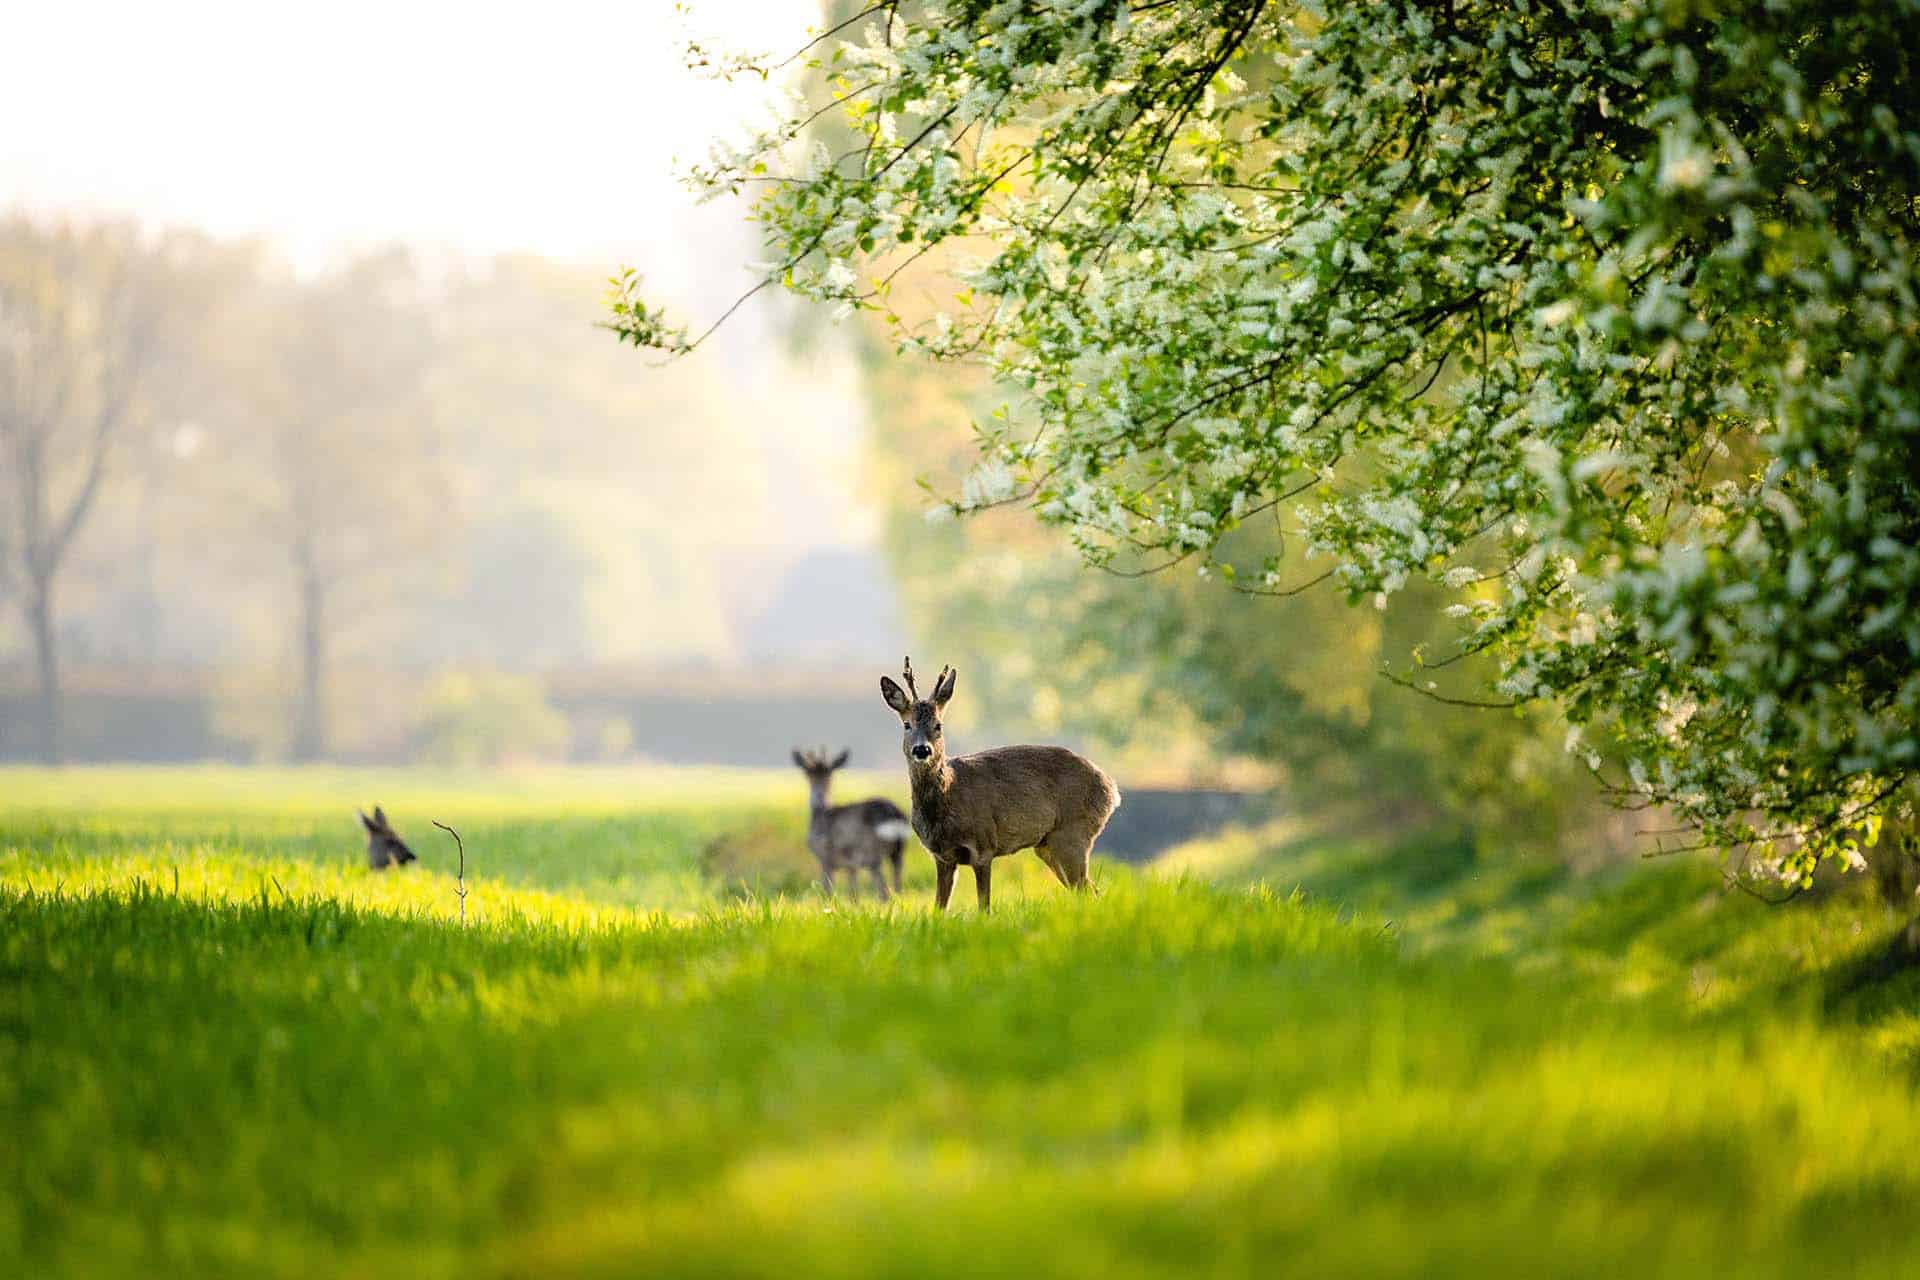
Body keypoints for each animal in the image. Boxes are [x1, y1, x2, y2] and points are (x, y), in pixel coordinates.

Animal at [794, 740, 913, 901]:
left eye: (829, 776)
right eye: (808, 774)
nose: (818, 797)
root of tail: (894, 813)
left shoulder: (825, 857)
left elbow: (828, 891)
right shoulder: (850, 865)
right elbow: (853, 893)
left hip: (872, 853)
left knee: (884, 891)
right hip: (898, 850)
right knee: (897, 885)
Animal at [879, 660, 1121, 909]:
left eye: (939, 725)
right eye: (907, 724)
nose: (922, 749)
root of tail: (1111, 789)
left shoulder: (983, 846)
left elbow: (984, 907)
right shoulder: (942, 856)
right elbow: (939, 908)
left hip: (1073, 832)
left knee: (1087, 891)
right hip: (1048, 845)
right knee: (1088, 890)